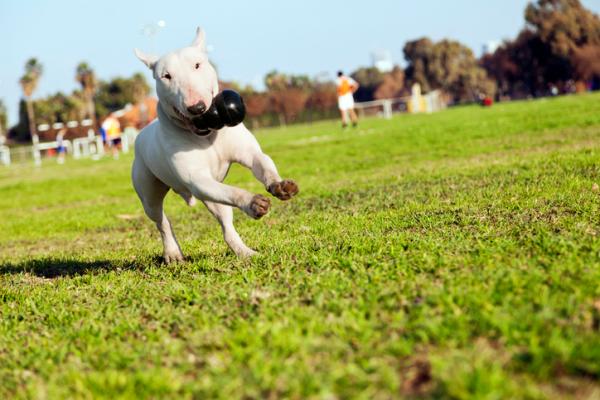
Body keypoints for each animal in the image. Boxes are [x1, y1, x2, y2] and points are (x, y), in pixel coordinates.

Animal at [132, 28, 298, 262]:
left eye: (197, 65)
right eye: (166, 76)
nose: (197, 107)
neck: (207, 136)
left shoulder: (249, 154)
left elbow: (263, 163)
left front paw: (279, 185)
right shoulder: (197, 179)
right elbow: (233, 191)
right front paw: (253, 202)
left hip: (213, 197)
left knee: (226, 224)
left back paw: (245, 252)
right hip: (150, 194)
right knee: (162, 221)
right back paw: (173, 253)